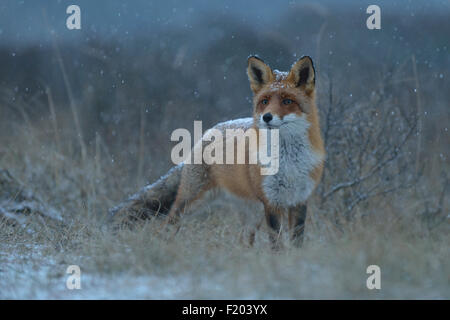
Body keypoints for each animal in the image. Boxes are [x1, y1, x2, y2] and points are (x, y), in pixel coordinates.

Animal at [110, 55, 326, 246]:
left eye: (287, 101)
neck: (288, 162)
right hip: (192, 201)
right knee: (168, 223)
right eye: (264, 101)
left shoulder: (299, 200)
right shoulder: (272, 202)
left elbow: (296, 241)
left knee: (244, 240)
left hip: (253, 211)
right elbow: (277, 243)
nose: (266, 117)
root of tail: (210, 131)